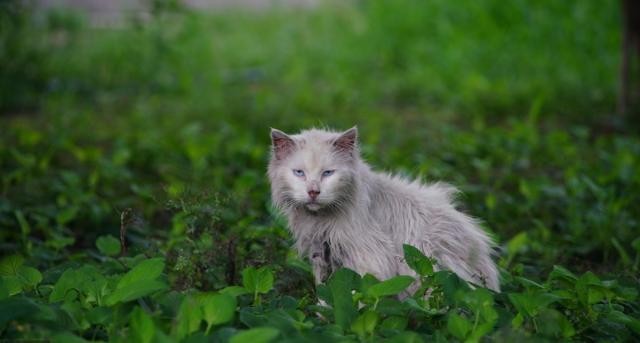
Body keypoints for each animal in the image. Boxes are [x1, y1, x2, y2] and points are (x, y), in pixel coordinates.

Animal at [264, 126, 500, 292]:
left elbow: (360, 296)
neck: (321, 218)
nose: (313, 191)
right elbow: (324, 290)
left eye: (328, 173)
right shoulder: (321, 252)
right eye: (299, 173)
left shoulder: (370, 258)